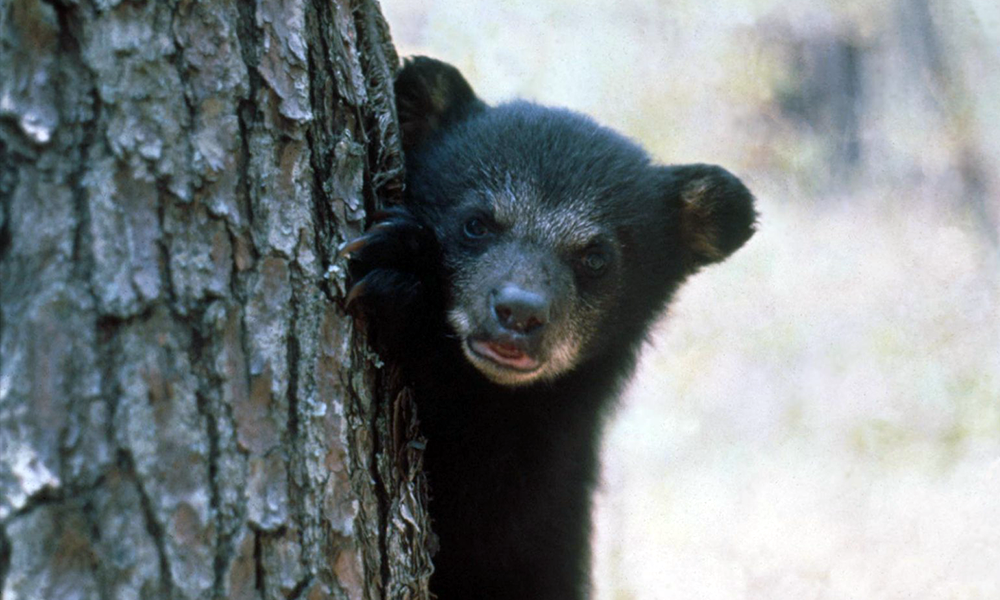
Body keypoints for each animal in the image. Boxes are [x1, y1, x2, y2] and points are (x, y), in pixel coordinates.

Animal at [344, 57, 757, 599]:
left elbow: (486, 517)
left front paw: (404, 280)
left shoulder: (546, 482)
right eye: (476, 223)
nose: (520, 312)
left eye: (596, 258)